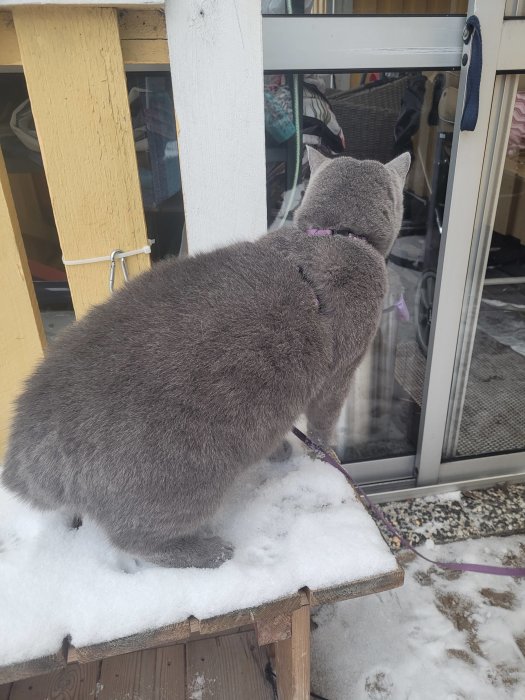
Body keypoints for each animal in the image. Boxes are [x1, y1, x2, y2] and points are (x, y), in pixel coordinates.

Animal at [1, 149, 410, 568]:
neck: (335, 234)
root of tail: (26, 448)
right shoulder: (340, 371)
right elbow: (323, 422)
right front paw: (325, 452)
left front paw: (279, 450)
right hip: (180, 484)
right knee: (135, 539)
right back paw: (209, 552)